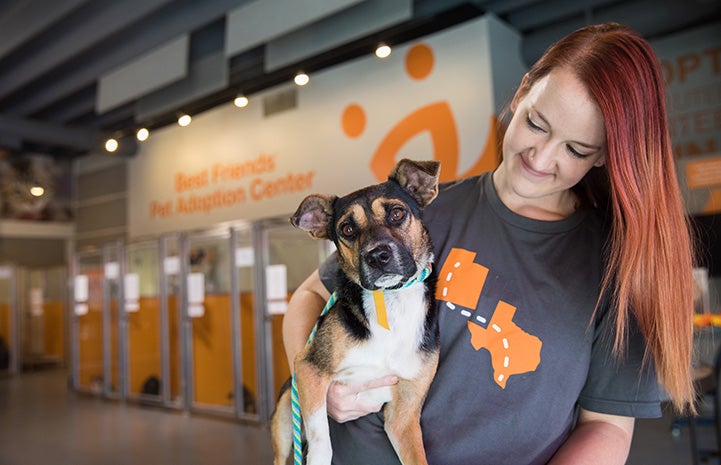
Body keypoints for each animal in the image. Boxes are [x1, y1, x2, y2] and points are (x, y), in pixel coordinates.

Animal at [270, 158, 438, 462]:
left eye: (397, 214)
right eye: (347, 229)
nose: (377, 256)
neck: (390, 300)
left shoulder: (404, 417)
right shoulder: (309, 370)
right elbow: (321, 441)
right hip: (286, 413)